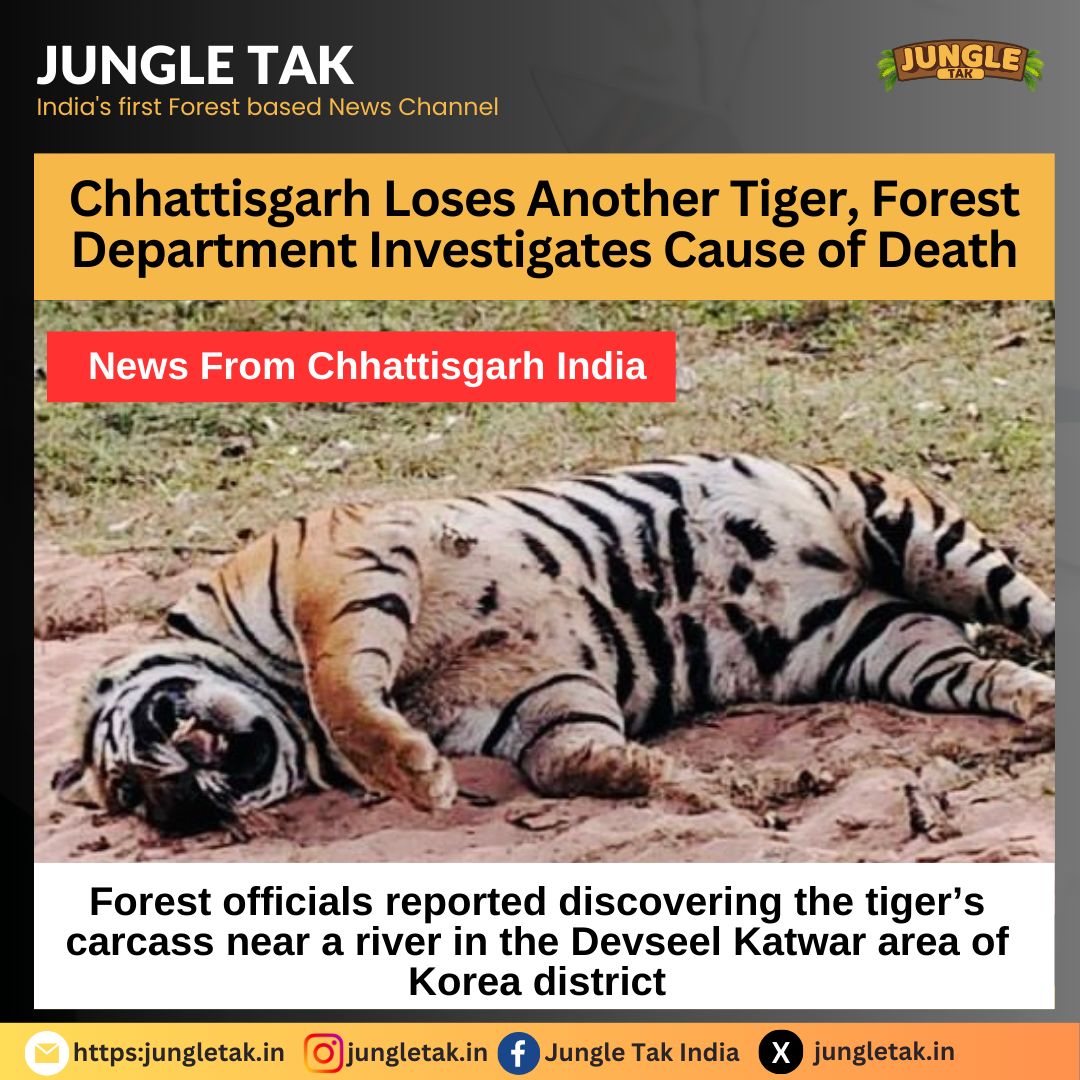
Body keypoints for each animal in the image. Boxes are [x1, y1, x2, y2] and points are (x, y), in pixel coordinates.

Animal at [52, 452, 1055, 836]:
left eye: (134, 774)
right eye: (138, 803)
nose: (177, 801)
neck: (283, 713)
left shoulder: (341, 570)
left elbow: (344, 690)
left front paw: (414, 778)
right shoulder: (533, 704)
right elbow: (566, 760)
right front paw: (688, 787)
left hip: (916, 530)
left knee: (1035, 610)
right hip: (885, 645)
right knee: (982, 669)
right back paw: (1038, 706)